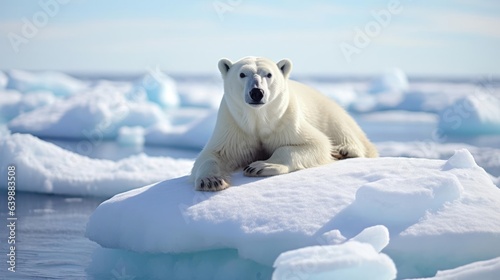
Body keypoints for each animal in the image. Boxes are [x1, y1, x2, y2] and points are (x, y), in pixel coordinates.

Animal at [189, 57, 376, 192]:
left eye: (268, 74)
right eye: (242, 74)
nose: (256, 92)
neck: (258, 119)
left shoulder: (286, 120)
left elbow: (316, 144)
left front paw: (261, 166)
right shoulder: (233, 125)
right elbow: (214, 154)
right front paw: (211, 181)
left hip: (330, 112)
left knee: (345, 130)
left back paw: (343, 150)